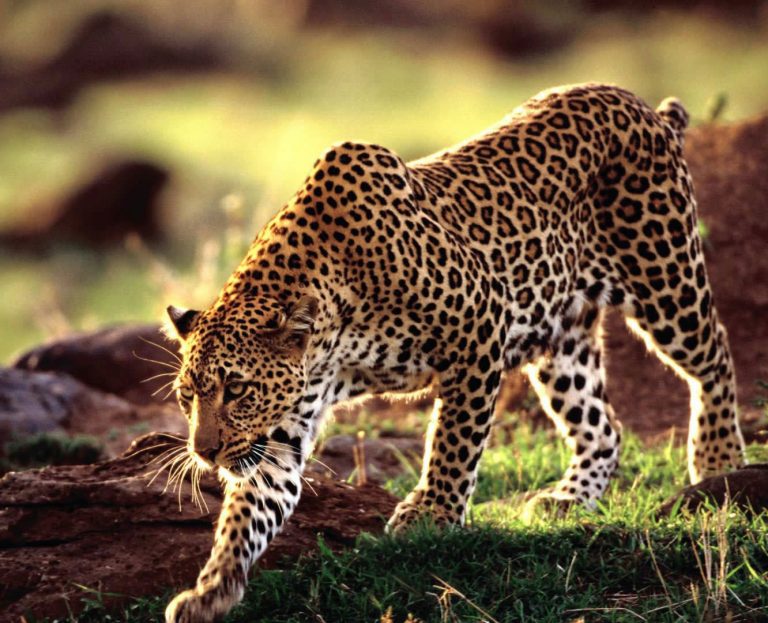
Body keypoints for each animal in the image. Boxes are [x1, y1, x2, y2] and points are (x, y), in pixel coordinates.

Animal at [162, 83, 745, 622]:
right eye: (188, 397)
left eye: (237, 389)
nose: (204, 453)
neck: (330, 335)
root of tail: (643, 106)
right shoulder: (280, 430)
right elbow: (250, 512)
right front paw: (211, 590)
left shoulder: (480, 326)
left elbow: (453, 440)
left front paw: (434, 515)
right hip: (561, 340)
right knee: (602, 426)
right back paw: (569, 499)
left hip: (666, 281)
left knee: (716, 358)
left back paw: (718, 462)